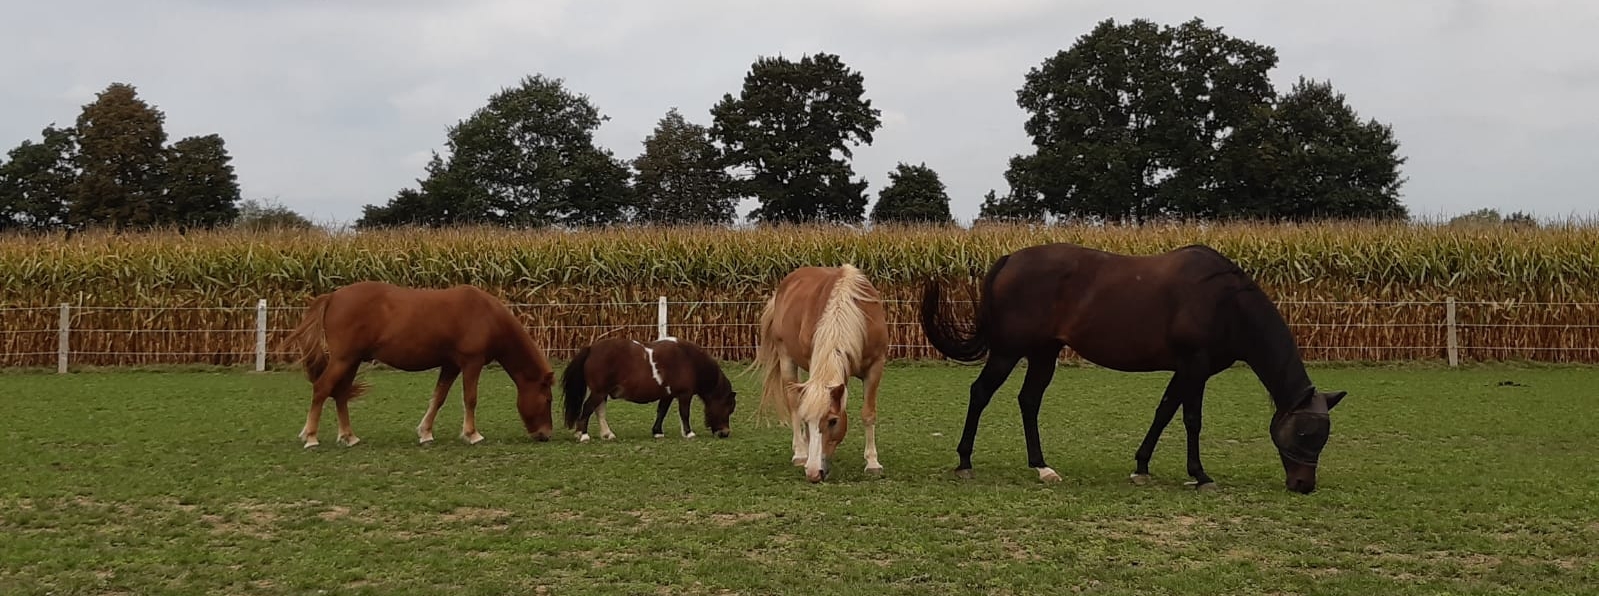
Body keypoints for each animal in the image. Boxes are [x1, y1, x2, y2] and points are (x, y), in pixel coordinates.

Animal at [284, 281, 559, 447]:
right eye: (547, 399)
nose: (545, 434)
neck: (487, 315)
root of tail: (333, 296)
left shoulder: (451, 365)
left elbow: (438, 398)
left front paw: (425, 432)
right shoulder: (472, 362)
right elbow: (470, 398)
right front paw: (472, 434)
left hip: (351, 361)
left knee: (340, 393)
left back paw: (348, 436)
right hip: (343, 359)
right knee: (322, 389)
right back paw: (311, 437)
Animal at [562, 333, 735, 441]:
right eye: (728, 407)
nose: (725, 433)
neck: (689, 360)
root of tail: (591, 348)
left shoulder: (667, 395)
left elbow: (661, 412)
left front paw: (657, 432)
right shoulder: (685, 394)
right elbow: (684, 413)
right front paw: (689, 433)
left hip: (602, 393)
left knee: (599, 411)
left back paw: (607, 434)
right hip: (598, 392)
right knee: (587, 408)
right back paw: (583, 435)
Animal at [748, 265, 889, 482]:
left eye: (833, 421)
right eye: (808, 422)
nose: (814, 473)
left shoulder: (875, 366)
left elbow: (868, 414)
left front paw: (872, 463)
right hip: (786, 359)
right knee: (793, 404)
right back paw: (800, 453)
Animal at [921, 241, 1343, 492]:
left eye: (1322, 437)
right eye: (1304, 433)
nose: (1304, 485)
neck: (1225, 302)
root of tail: (1010, 260)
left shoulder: (1185, 370)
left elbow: (1164, 412)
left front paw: (1141, 466)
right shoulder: (1195, 365)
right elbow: (1191, 419)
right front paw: (1200, 475)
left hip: (1044, 353)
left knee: (1028, 400)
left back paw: (1042, 467)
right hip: (1008, 351)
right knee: (981, 393)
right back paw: (965, 461)